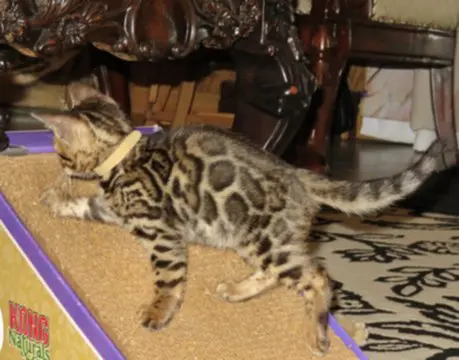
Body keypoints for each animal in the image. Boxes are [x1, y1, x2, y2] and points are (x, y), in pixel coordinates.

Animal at [33, 81, 446, 354]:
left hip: (265, 240)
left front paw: (158, 312)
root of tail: (298, 174)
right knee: (278, 275)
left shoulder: (161, 232)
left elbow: (169, 279)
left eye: (61, 151)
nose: (60, 164)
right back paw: (236, 290)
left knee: (319, 278)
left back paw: (317, 333)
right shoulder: (115, 210)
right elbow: (86, 205)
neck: (123, 154)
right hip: (254, 240)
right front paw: (56, 200)